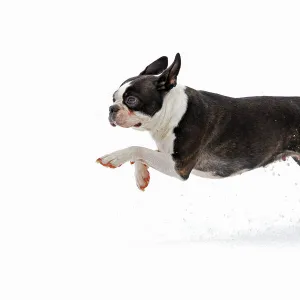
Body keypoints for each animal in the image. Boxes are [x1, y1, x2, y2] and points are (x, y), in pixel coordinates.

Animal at [96, 53, 300, 190]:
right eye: (113, 98)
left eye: (131, 100)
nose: (111, 109)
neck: (173, 113)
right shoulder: (167, 154)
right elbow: (142, 155)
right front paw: (141, 176)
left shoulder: (179, 168)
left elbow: (138, 149)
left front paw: (114, 157)